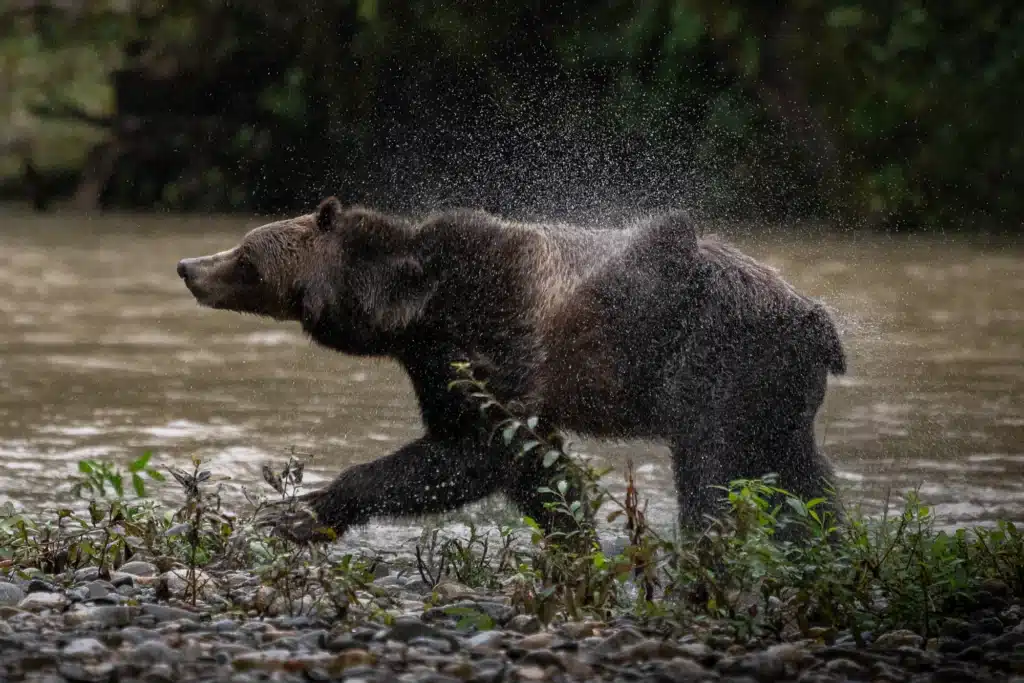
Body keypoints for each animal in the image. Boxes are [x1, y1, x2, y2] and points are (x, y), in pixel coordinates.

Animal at [176, 197, 847, 542]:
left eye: (245, 256)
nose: (187, 265)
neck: (410, 305)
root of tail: (819, 323)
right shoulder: (445, 362)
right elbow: (532, 465)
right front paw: (572, 532)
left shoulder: (492, 329)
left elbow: (473, 453)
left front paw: (300, 509)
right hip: (779, 393)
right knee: (803, 476)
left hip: (724, 364)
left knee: (715, 469)